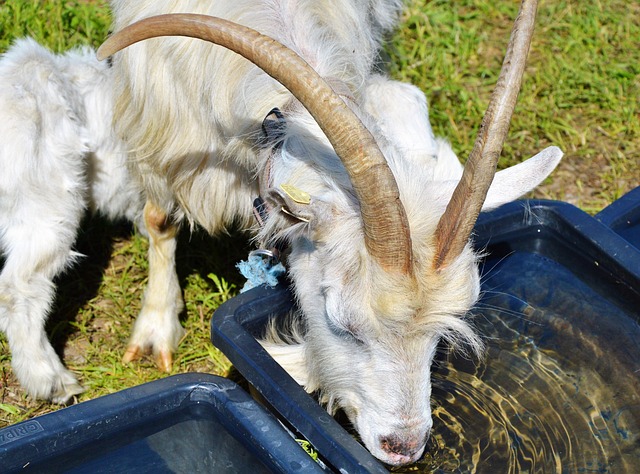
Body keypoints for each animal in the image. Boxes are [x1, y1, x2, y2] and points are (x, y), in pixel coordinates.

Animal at [101, 0, 560, 466]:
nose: (403, 448)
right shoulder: (162, 129)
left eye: (441, 332)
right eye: (342, 323)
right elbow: (160, 219)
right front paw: (156, 329)